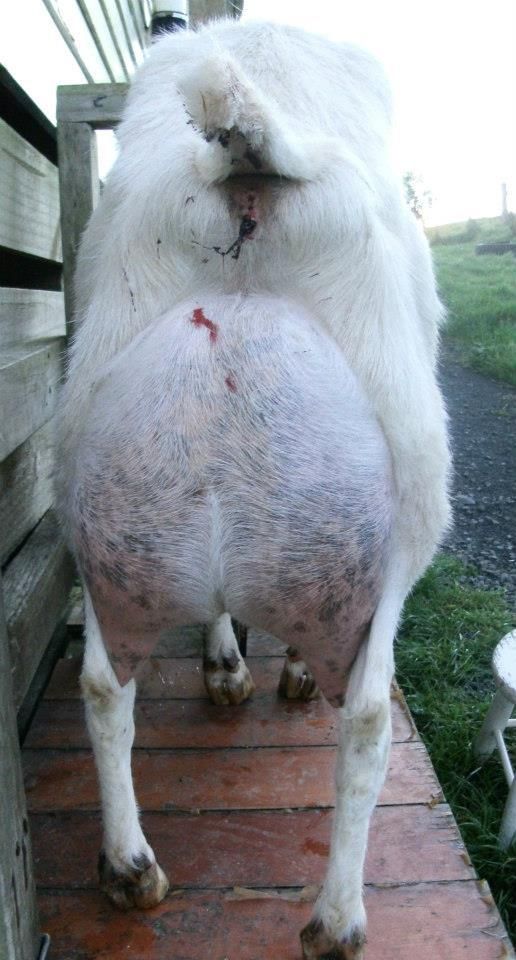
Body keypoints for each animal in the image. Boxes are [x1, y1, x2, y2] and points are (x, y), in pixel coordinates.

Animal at [57, 19, 451, 958]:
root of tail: (250, 131)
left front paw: (226, 666)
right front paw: (281, 672)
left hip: (89, 475)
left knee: (102, 685)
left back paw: (130, 865)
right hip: (410, 493)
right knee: (368, 720)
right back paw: (336, 919)